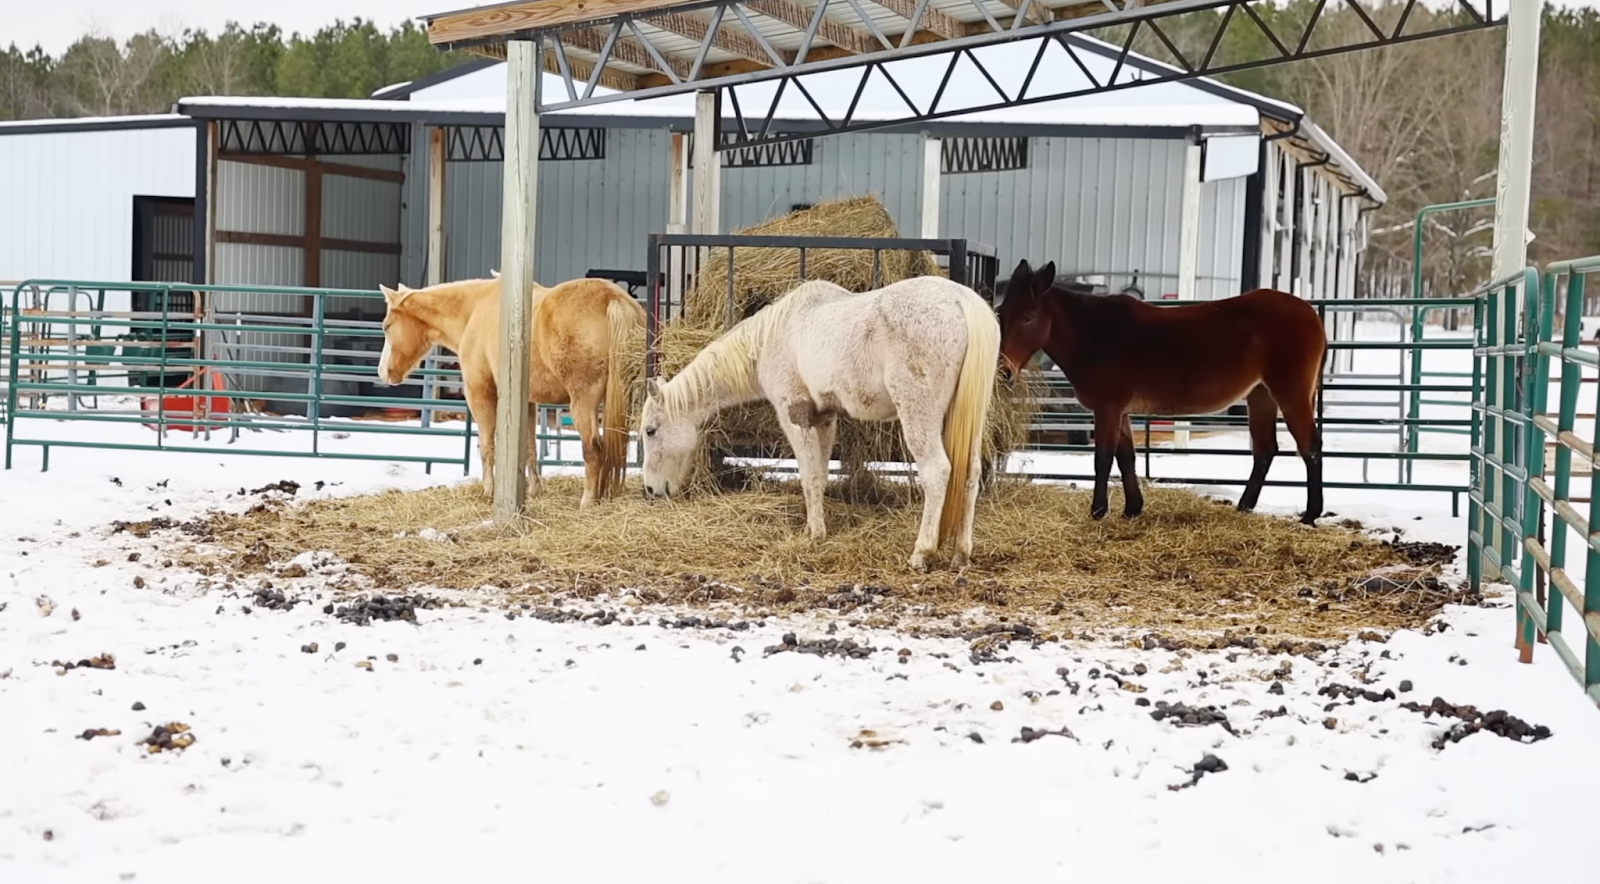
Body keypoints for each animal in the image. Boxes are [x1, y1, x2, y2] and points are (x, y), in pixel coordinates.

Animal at [375, 275, 646, 509]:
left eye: (387, 326)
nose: (383, 373)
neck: (476, 309)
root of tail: (612, 299)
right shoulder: (527, 402)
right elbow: (529, 446)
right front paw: (534, 490)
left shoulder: (480, 392)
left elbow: (486, 445)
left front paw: (488, 491)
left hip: (584, 401)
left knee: (593, 449)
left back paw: (588, 501)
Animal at [638, 276, 1000, 571]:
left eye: (650, 431)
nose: (651, 489)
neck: (774, 336)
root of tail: (960, 301)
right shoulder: (825, 418)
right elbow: (821, 475)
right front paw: (817, 528)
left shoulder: (795, 416)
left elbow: (808, 476)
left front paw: (814, 534)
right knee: (971, 473)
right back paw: (961, 554)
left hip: (920, 415)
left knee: (937, 471)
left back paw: (922, 553)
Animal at [995, 259, 1327, 525]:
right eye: (1000, 314)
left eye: (1028, 316)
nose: (1004, 372)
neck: (1095, 334)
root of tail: (1311, 314)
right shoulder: (1121, 411)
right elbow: (1126, 457)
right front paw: (1132, 508)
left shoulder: (1108, 408)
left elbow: (1103, 458)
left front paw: (1098, 511)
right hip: (1260, 395)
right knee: (1265, 449)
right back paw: (1245, 506)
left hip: (1291, 393)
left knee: (1309, 446)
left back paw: (1310, 514)